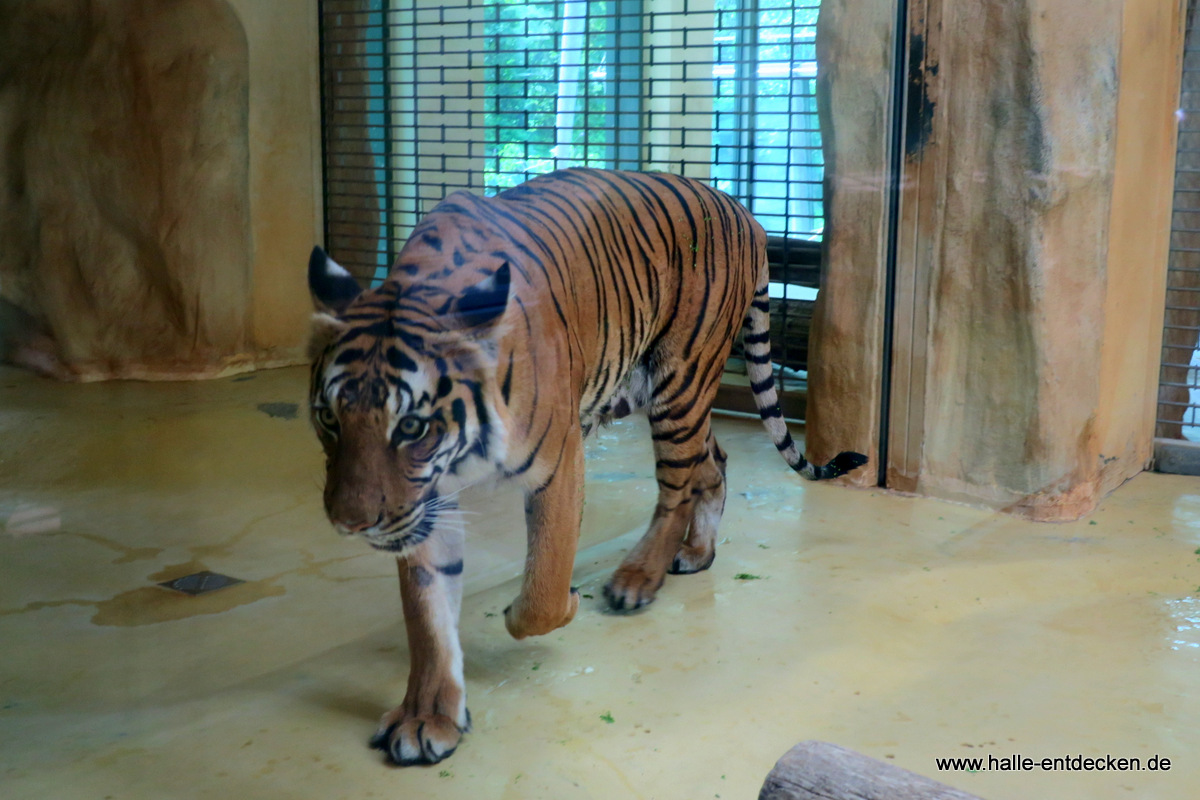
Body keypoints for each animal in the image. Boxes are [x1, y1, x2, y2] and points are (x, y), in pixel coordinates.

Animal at [304, 167, 868, 762]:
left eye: (411, 426)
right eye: (328, 417)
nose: (350, 523)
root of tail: (744, 211)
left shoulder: (557, 459)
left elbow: (543, 587)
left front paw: (550, 607)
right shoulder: (424, 500)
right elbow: (426, 613)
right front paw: (426, 718)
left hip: (679, 380)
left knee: (677, 486)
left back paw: (637, 579)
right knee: (711, 461)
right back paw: (697, 552)